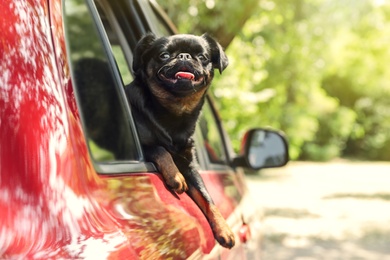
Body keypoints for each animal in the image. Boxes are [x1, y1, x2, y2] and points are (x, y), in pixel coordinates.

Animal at [125, 33, 235, 249]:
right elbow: (160, 149)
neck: (176, 112)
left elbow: (207, 197)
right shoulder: (141, 146)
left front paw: (224, 228)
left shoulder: (190, 165)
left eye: (202, 57)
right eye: (164, 55)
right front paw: (175, 176)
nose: (184, 56)